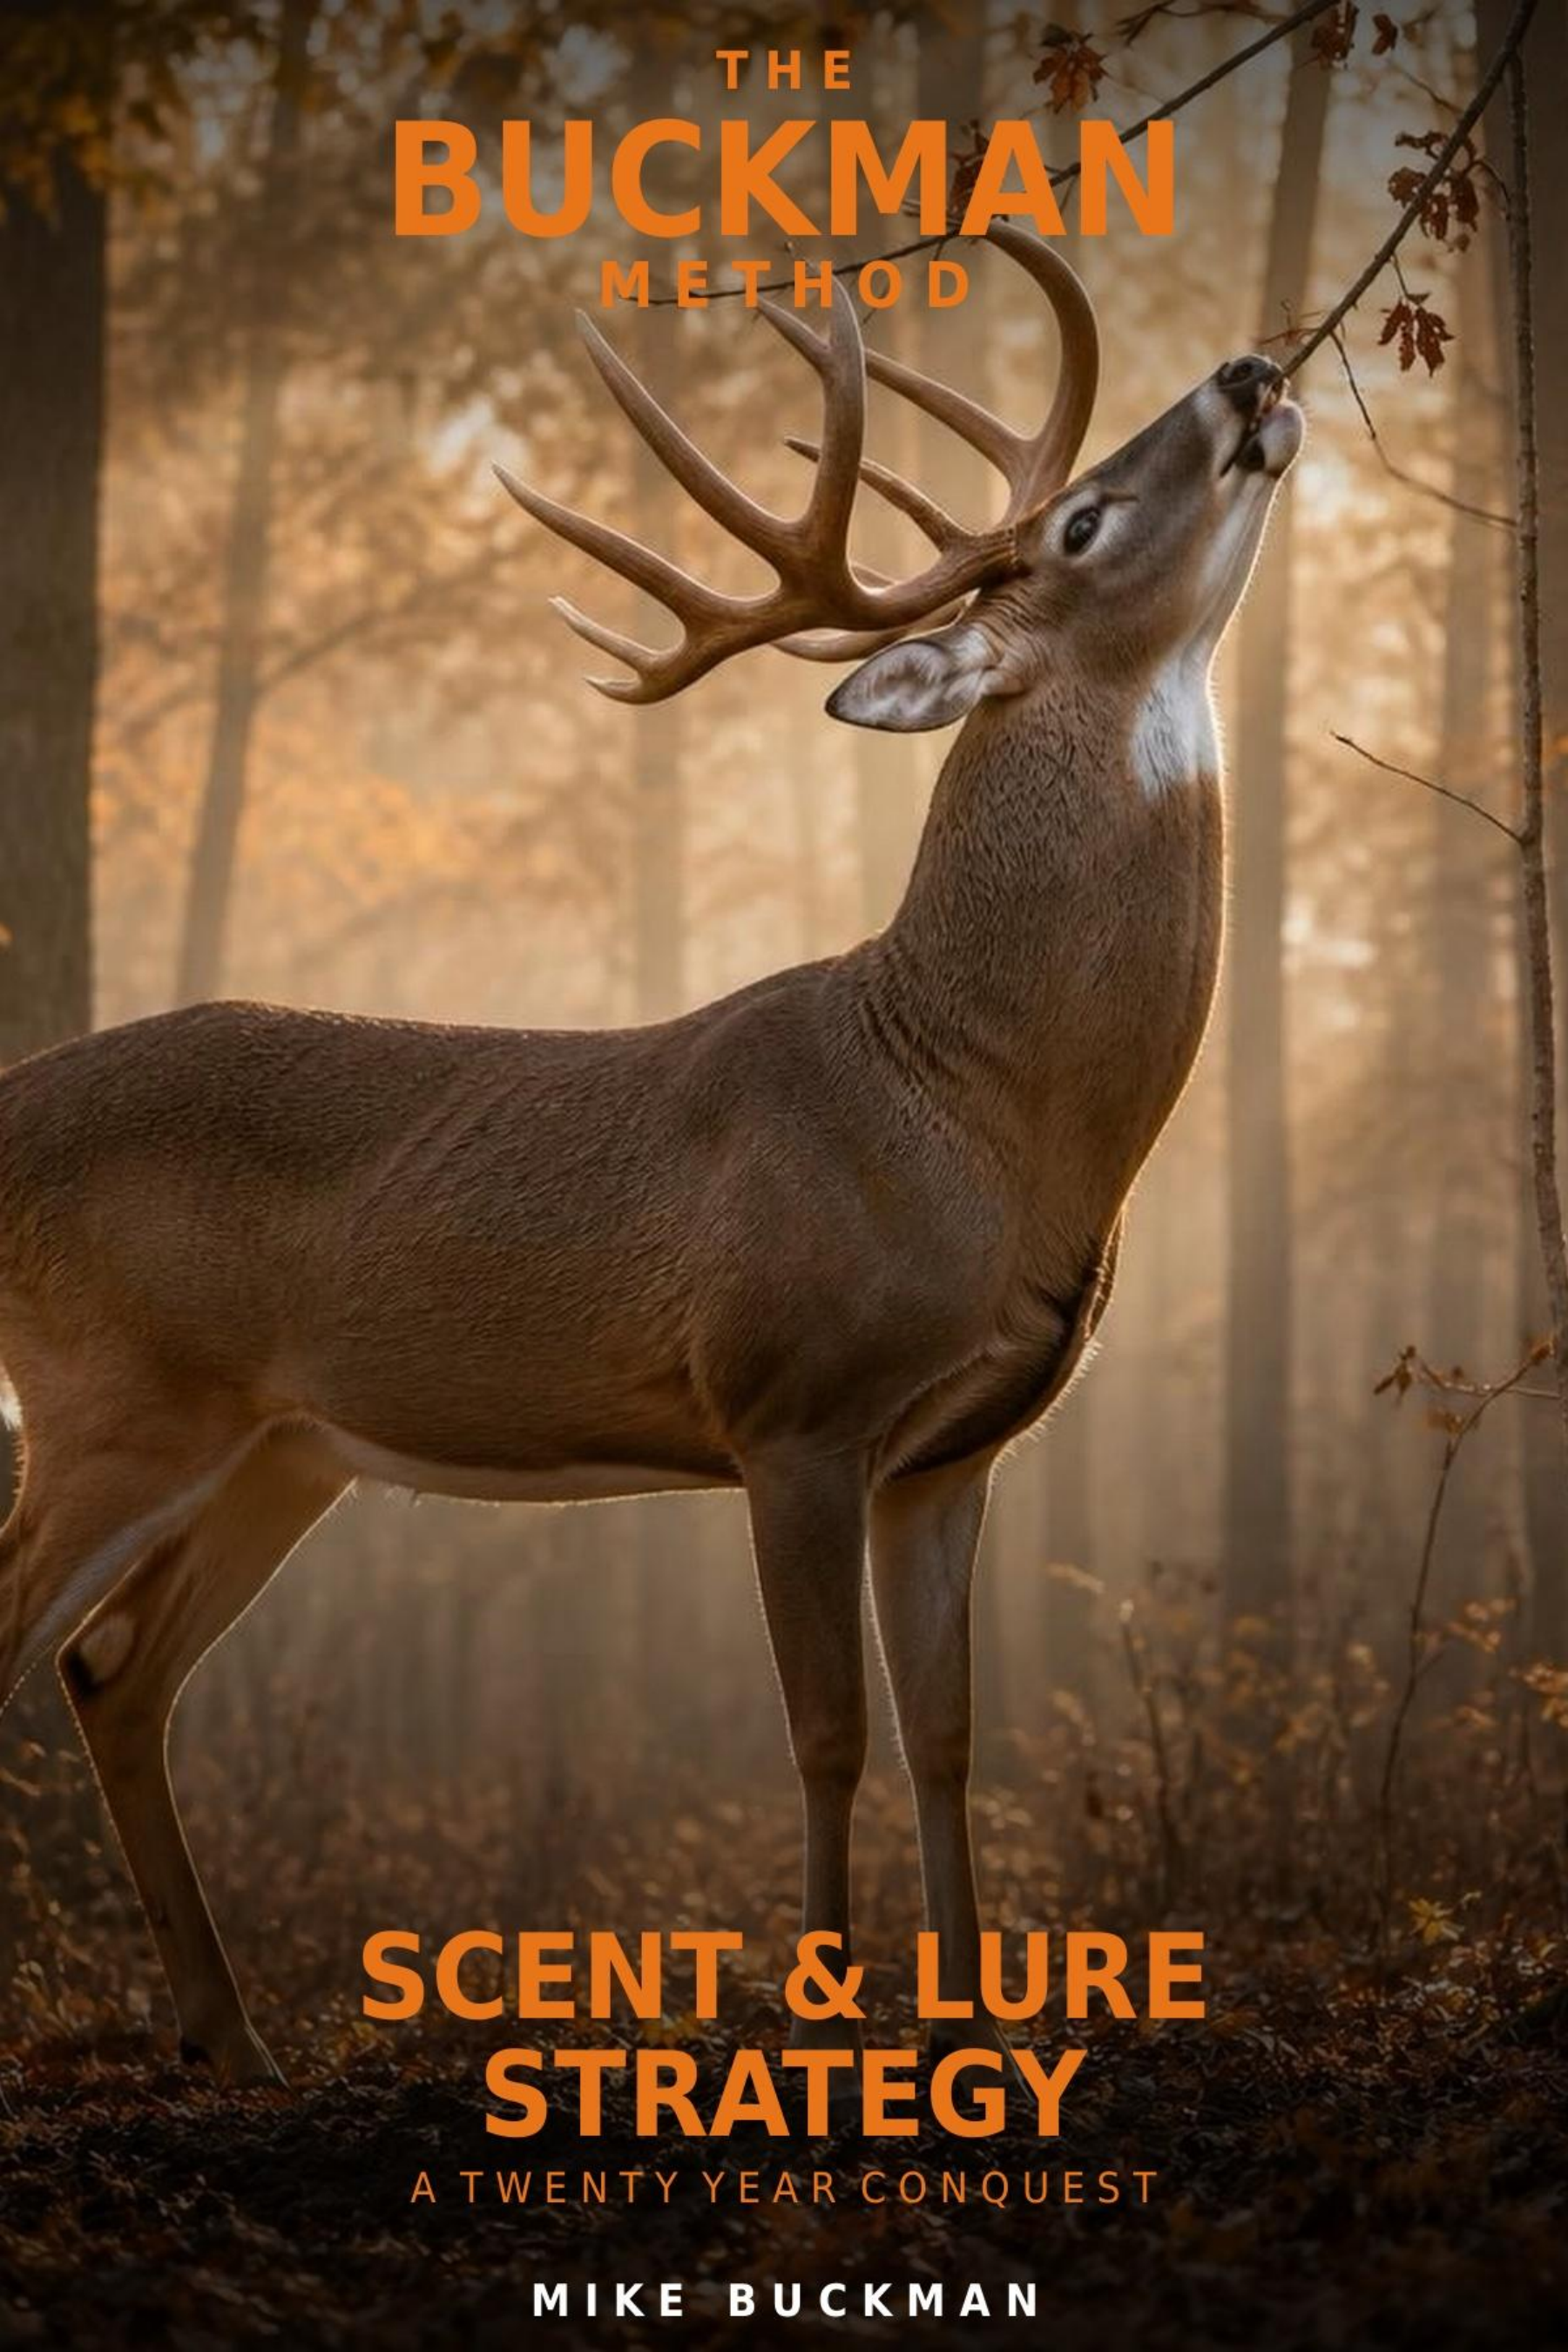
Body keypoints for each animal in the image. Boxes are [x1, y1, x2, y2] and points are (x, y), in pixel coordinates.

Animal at [0, 224, 1300, 2090]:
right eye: (1082, 525)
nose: (1255, 374)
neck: (979, 1105)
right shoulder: (789, 1405)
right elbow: (827, 1733)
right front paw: (826, 2017)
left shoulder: (954, 1451)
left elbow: (951, 1735)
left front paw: (974, 2029)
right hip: (113, 1397)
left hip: (281, 1446)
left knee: (119, 1671)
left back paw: (232, 2039)